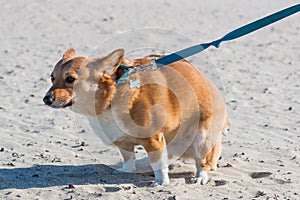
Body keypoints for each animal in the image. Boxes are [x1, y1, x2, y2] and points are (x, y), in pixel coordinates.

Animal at [43, 48, 229, 186]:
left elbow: (158, 163)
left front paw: (161, 182)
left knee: (202, 163)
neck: (110, 99)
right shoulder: (122, 141)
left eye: (70, 79)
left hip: (202, 139)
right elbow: (128, 157)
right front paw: (127, 169)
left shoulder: (154, 139)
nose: (46, 99)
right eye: (52, 78)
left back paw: (200, 177)